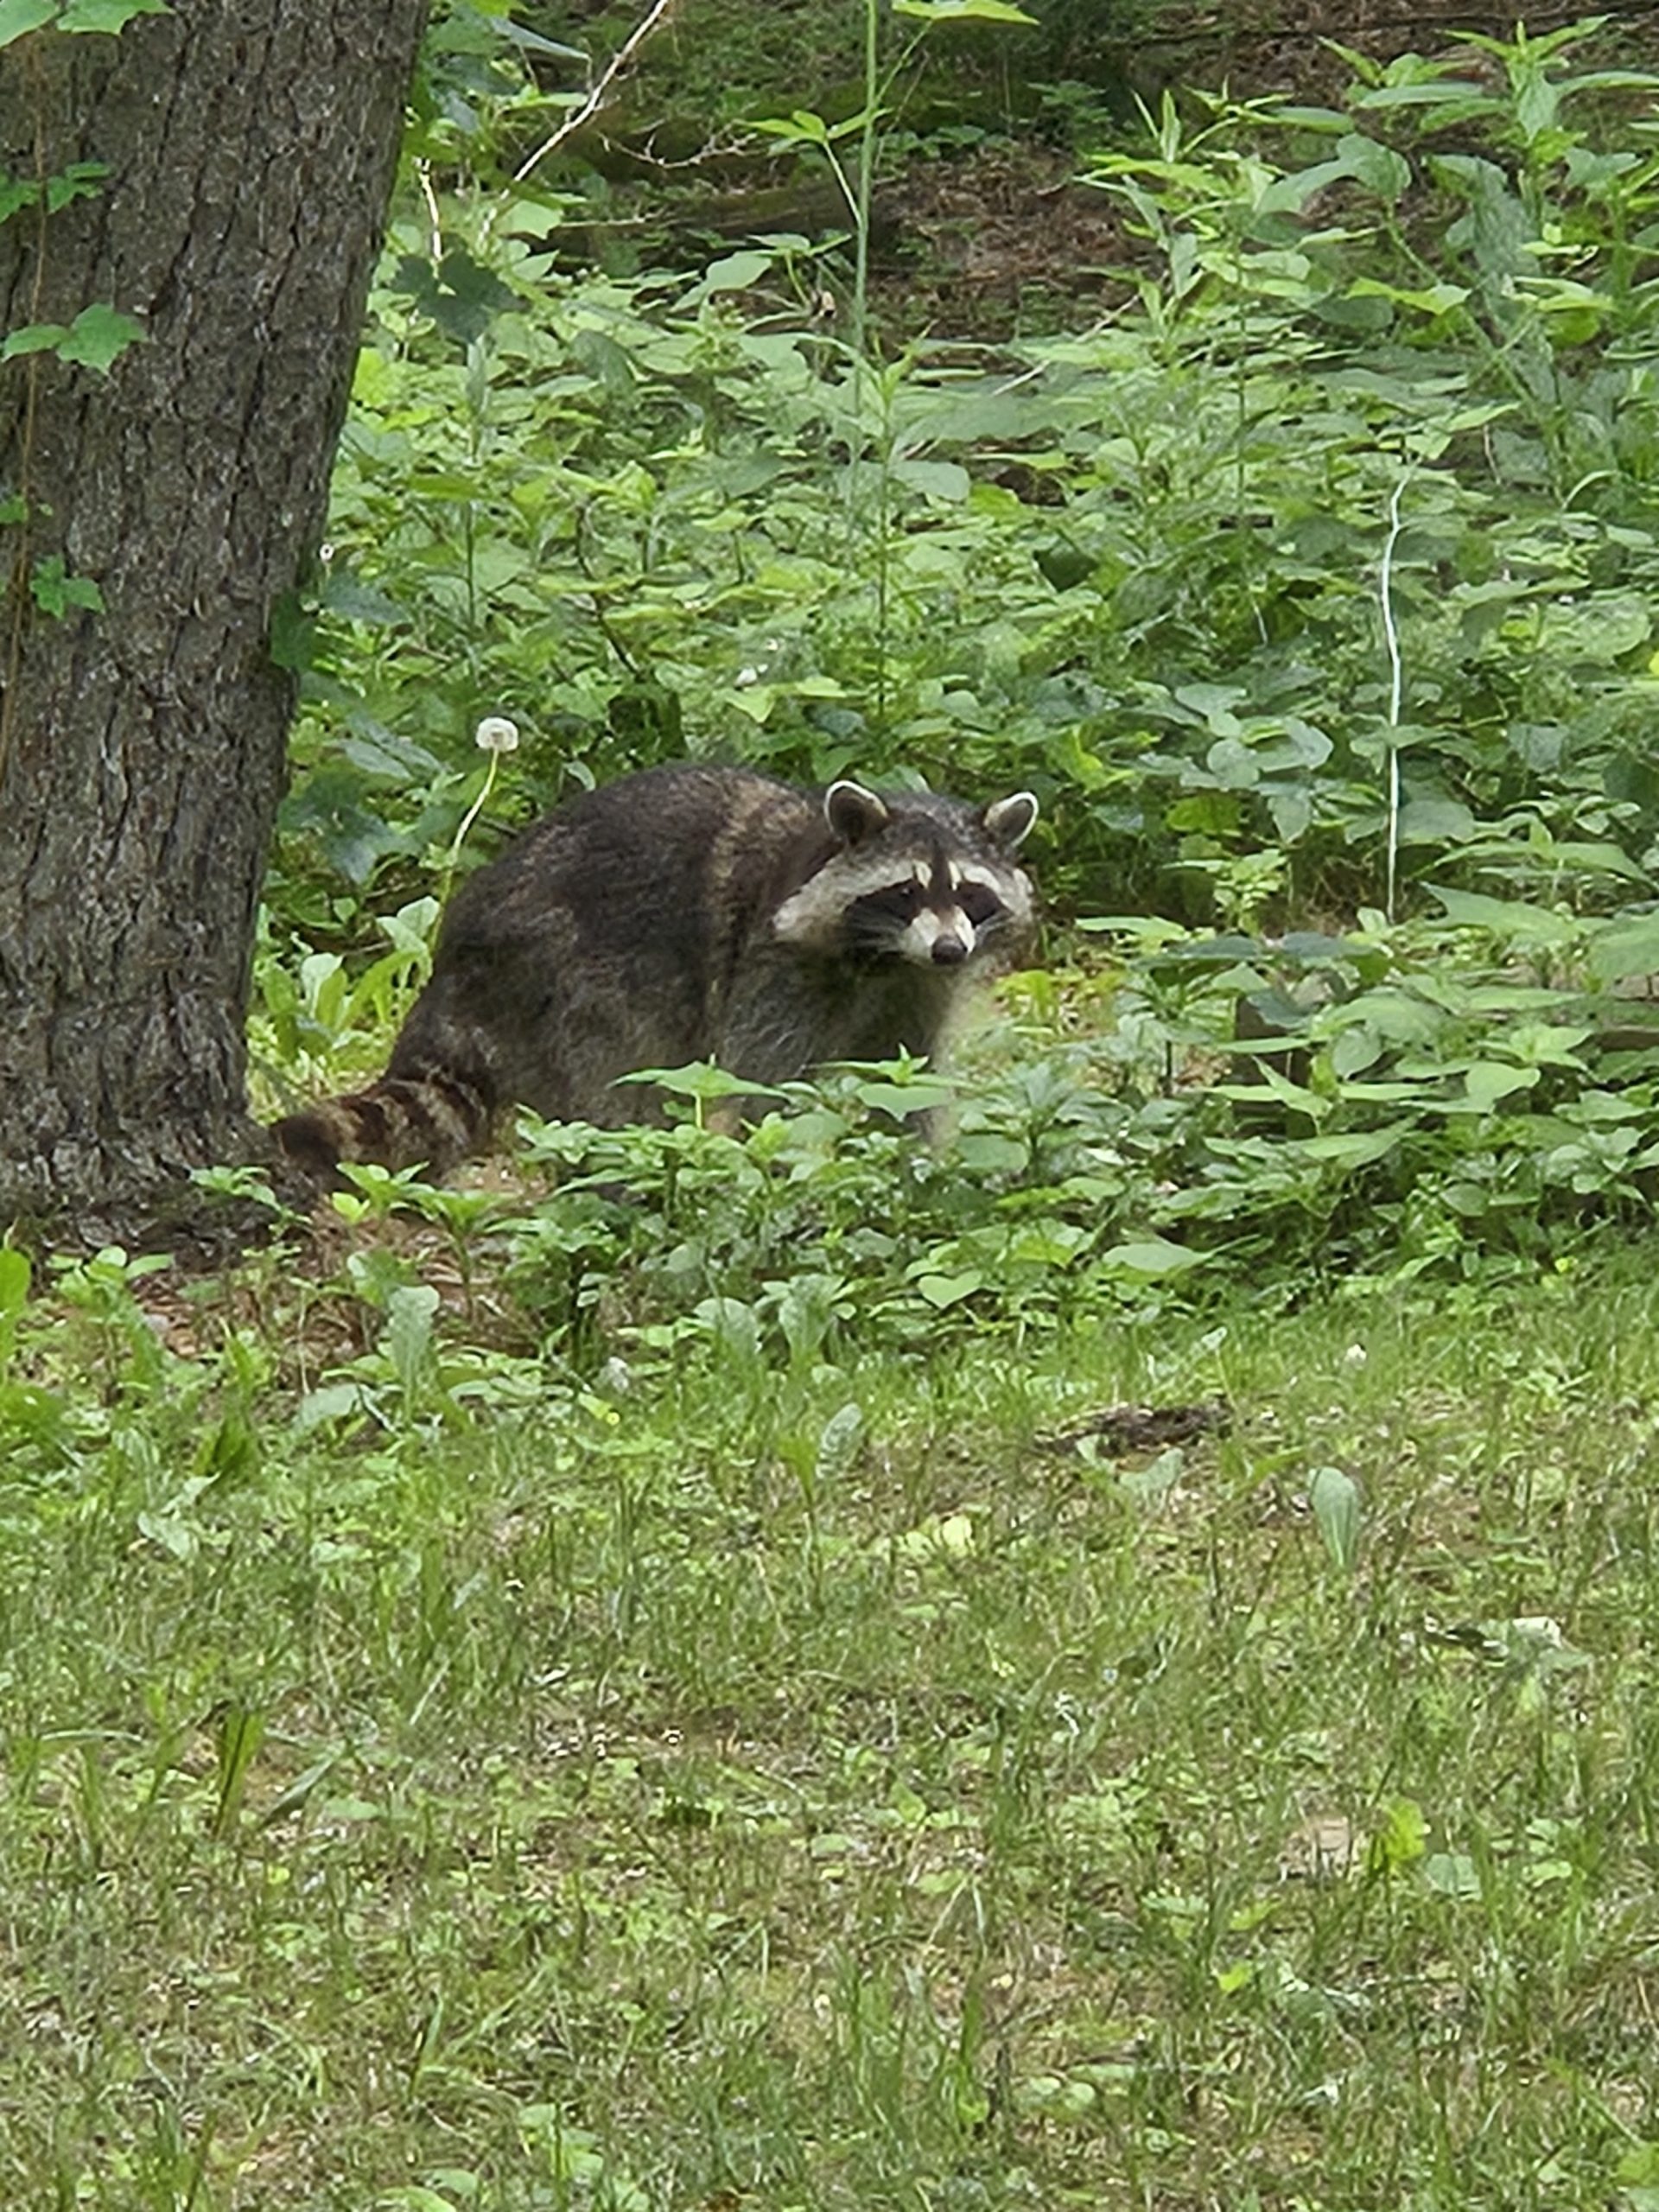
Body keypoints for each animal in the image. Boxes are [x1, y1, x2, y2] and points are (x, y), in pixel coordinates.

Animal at [273, 762, 1038, 1182]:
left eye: (970, 894)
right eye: (905, 891)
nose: (951, 949)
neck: (884, 958)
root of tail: (453, 975)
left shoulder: (919, 989)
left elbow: (908, 1077)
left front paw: (910, 1162)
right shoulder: (771, 969)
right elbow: (766, 1084)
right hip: (563, 974)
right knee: (614, 1078)